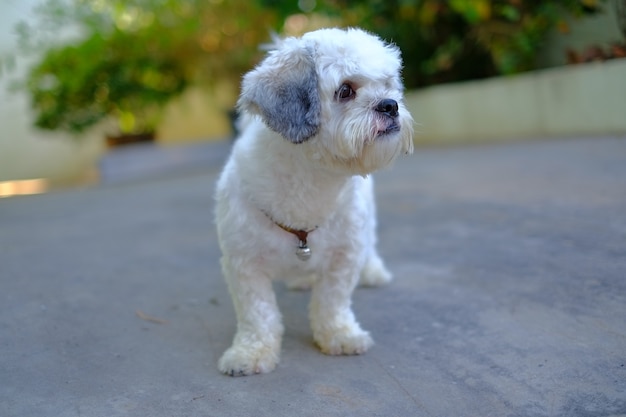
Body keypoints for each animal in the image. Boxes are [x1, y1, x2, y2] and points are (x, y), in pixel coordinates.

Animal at [212, 27, 412, 376]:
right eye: (345, 90)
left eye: (388, 84)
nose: (390, 105)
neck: (310, 182)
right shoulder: (243, 265)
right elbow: (257, 314)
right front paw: (251, 352)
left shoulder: (344, 256)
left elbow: (333, 302)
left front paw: (339, 334)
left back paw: (373, 270)